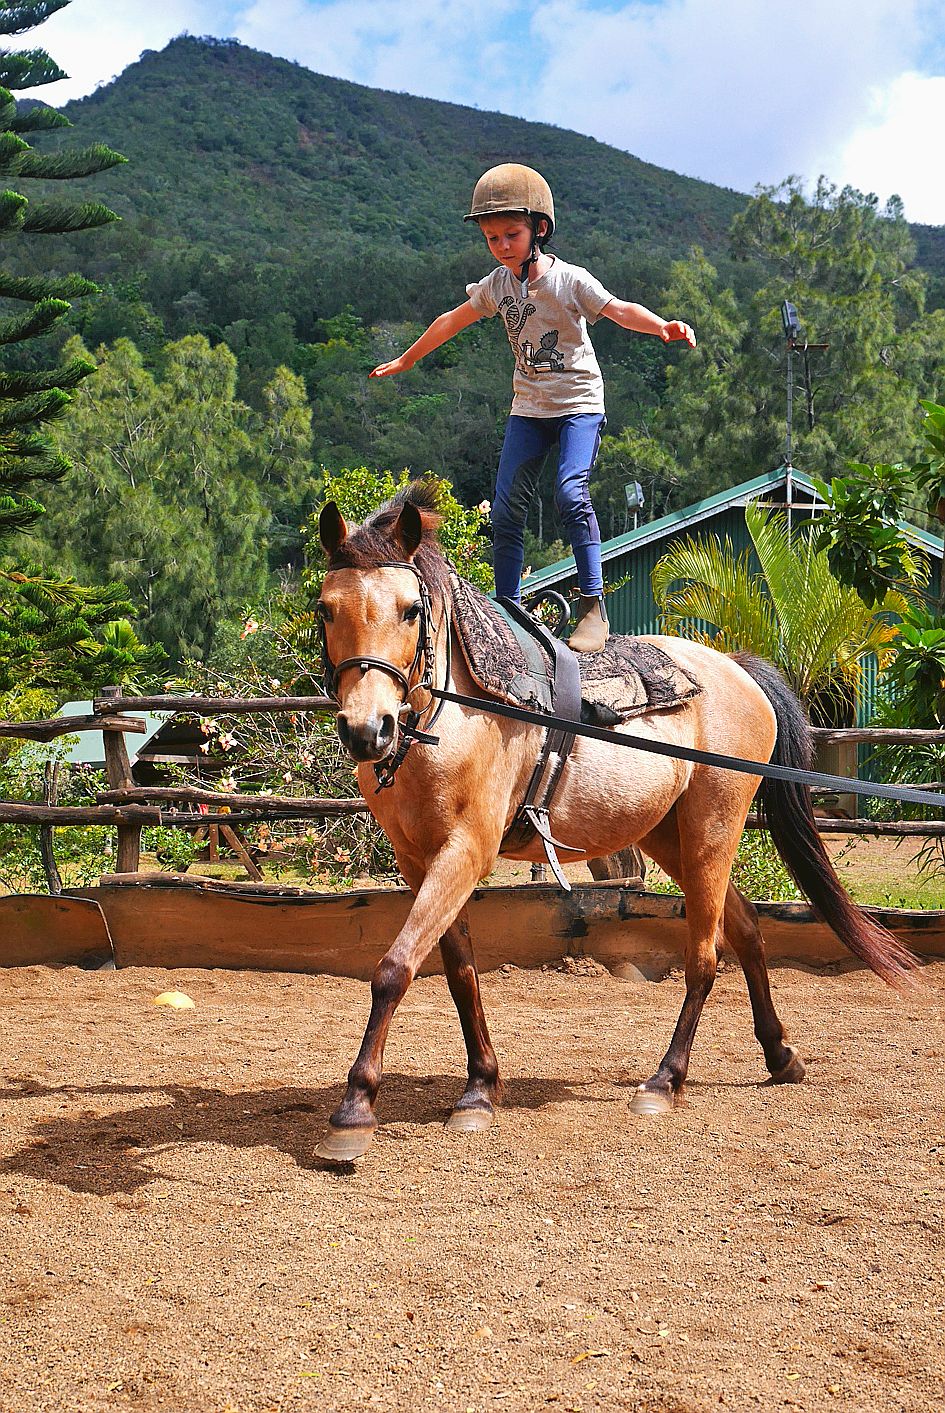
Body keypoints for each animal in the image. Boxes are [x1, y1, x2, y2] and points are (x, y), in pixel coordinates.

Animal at [310, 477, 915, 1158]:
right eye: (326, 608)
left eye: (411, 610)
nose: (366, 730)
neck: (453, 714)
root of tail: (739, 670)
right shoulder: (420, 860)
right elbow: (458, 970)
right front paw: (480, 1088)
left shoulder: (466, 851)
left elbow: (394, 968)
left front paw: (354, 1110)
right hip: (670, 838)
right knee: (746, 930)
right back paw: (780, 1055)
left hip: (712, 830)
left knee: (705, 957)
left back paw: (664, 1080)